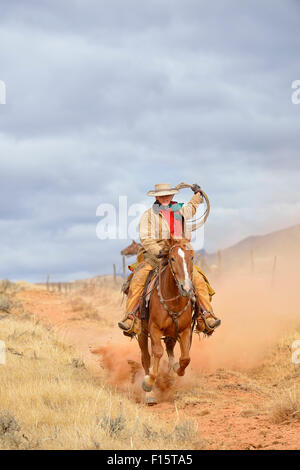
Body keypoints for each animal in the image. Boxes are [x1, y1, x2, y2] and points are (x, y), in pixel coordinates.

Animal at [138, 237, 196, 402]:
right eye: (172, 258)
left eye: (191, 257)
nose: (186, 288)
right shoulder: (154, 328)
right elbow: (157, 352)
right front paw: (148, 383)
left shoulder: (185, 330)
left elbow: (185, 358)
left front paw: (177, 370)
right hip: (142, 333)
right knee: (146, 357)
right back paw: (150, 394)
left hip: (171, 334)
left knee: (170, 351)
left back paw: (170, 375)